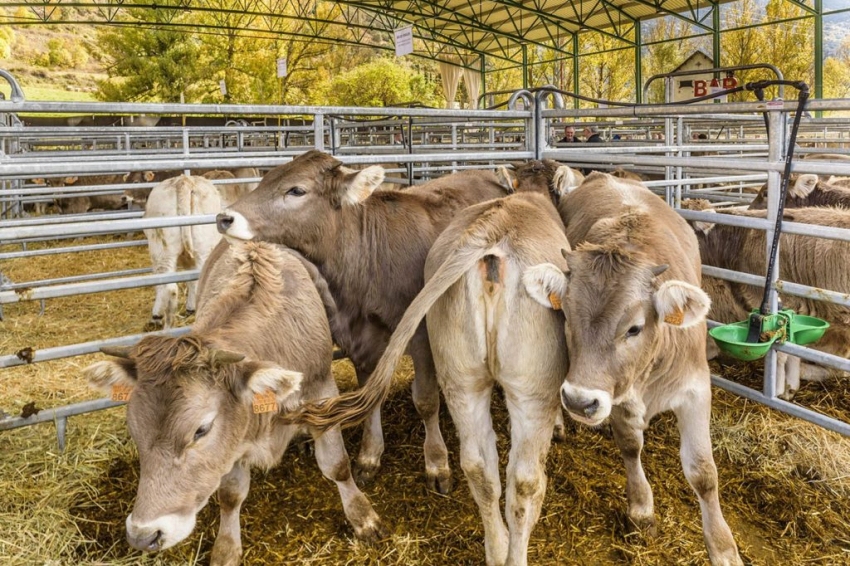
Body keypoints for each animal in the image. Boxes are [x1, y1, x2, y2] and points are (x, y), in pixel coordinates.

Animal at [83, 242, 380, 564]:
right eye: (134, 429)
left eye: (201, 430)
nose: (143, 535)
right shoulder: (234, 440)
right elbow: (230, 495)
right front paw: (226, 547)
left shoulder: (322, 389)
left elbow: (336, 464)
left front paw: (363, 517)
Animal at [215, 150, 510, 492]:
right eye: (265, 179)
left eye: (297, 190)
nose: (224, 218)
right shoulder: (359, 339)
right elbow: (370, 396)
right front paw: (369, 456)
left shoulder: (420, 336)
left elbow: (425, 400)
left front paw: (437, 463)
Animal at [524, 174, 744, 566]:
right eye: (566, 316)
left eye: (634, 328)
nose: (579, 401)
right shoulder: (616, 397)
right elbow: (629, 446)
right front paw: (641, 508)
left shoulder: (696, 390)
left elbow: (703, 472)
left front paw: (723, 547)